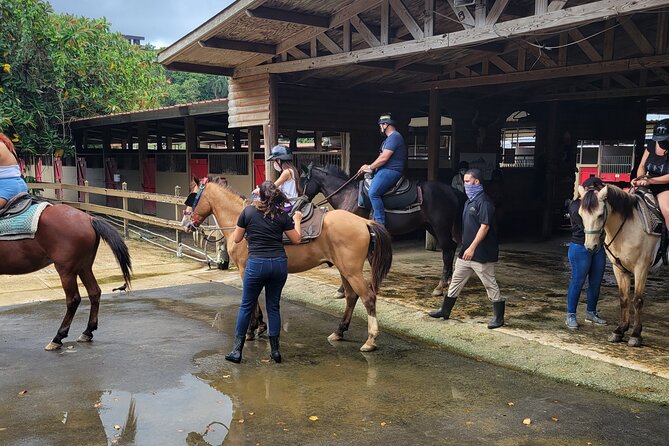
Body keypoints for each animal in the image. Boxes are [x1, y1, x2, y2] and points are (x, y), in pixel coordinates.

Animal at [1, 201, 132, 348]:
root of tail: (89, 219)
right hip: (84, 267)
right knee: (94, 292)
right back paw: (87, 331)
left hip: (66, 270)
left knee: (73, 299)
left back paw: (58, 337)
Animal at [181, 179, 392, 352]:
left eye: (192, 199)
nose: (185, 224)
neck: (240, 220)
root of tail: (364, 221)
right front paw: (260, 326)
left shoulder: (245, 270)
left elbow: (251, 298)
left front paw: (251, 330)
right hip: (344, 270)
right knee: (351, 297)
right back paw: (339, 332)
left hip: (351, 271)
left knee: (368, 298)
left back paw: (370, 340)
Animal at [302, 164, 464, 296]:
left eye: (303, 180)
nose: (299, 202)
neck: (349, 196)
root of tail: (451, 191)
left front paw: (344, 289)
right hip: (431, 227)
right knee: (451, 247)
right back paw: (449, 282)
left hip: (440, 227)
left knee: (447, 252)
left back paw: (440, 287)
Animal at [576, 183, 660, 346]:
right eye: (581, 215)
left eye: (600, 215)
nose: (590, 247)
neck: (628, 228)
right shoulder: (619, 268)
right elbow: (624, 298)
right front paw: (620, 331)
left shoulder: (641, 268)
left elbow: (637, 300)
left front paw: (635, 335)